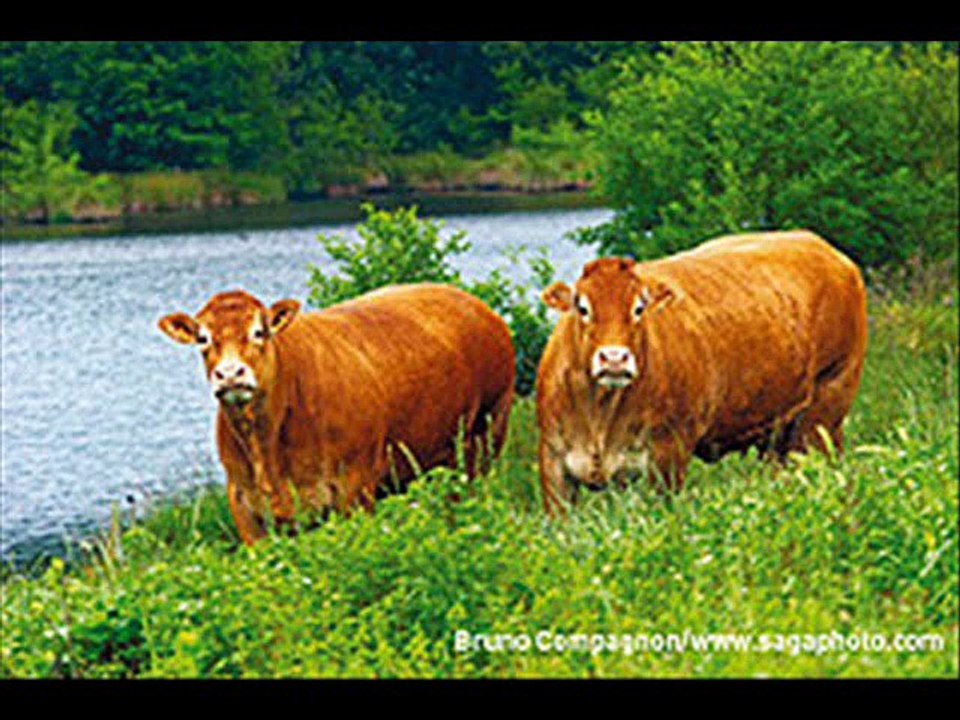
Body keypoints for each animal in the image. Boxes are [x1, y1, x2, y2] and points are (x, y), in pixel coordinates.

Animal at [159, 284, 515, 545]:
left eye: (260, 331)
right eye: (203, 338)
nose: (230, 374)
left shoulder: (354, 487)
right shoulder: (245, 506)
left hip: (486, 438)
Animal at [536, 230, 868, 515]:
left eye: (639, 308)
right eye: (582, 308)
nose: (614, 358)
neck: (600, 414)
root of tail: (823, 248)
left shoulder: (668, 452)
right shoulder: (553, 463)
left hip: (826, 404)